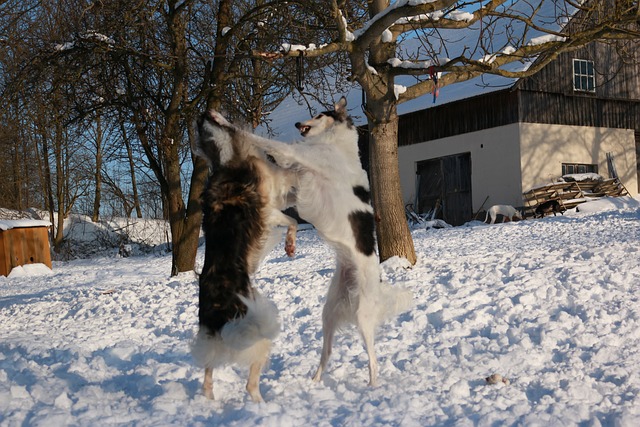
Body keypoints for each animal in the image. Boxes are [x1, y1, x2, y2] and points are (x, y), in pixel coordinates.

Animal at [190, 112, 298, 402]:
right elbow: (292, 219)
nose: (204, 112)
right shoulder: (269, 208)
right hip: (259, 339)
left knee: (208, 373)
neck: (227, 161)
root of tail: (220, 318)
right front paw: (290, 246)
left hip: (210, 343)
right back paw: (261, 405)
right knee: (250, 385)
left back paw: (209, 399)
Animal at [206, 99, 416, 388]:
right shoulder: (296, 176)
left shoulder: (295, 157)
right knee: (326, 353)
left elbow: (259, 139)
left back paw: (372, 387)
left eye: (318, 115)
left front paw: (220, 119)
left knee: (373, 360)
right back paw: (315, 381)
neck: (335, 142)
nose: (297, 123)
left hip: (363, 318)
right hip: (328, 314)